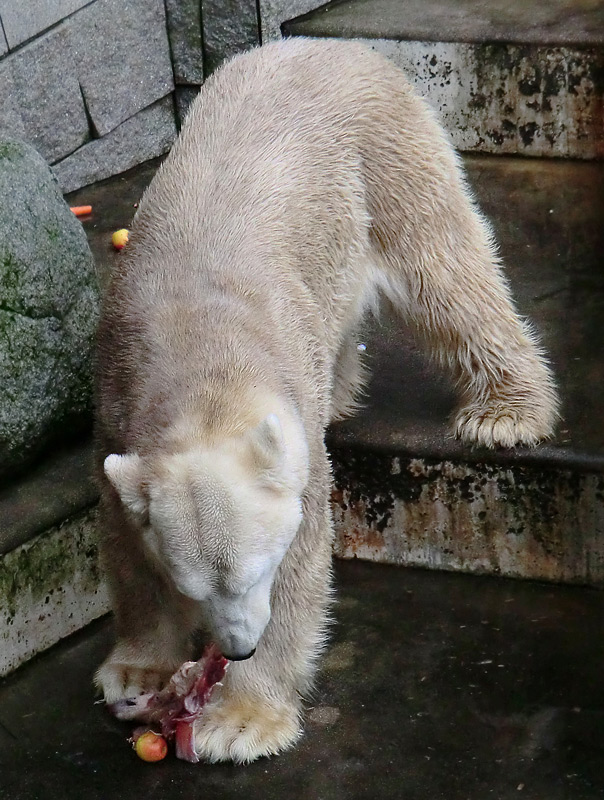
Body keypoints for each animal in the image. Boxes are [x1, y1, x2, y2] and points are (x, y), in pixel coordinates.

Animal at [95, 37, 560, 764]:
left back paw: (505, 411)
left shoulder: (295, 451)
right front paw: (136, 670)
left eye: (255, 570)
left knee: (445, 276)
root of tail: (327, 43)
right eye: (193, 584)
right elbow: (123, 540)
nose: (238, 648)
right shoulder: (115, 407)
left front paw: (240, 719)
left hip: (386, 160)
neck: (198, 358)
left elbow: (304, 563)